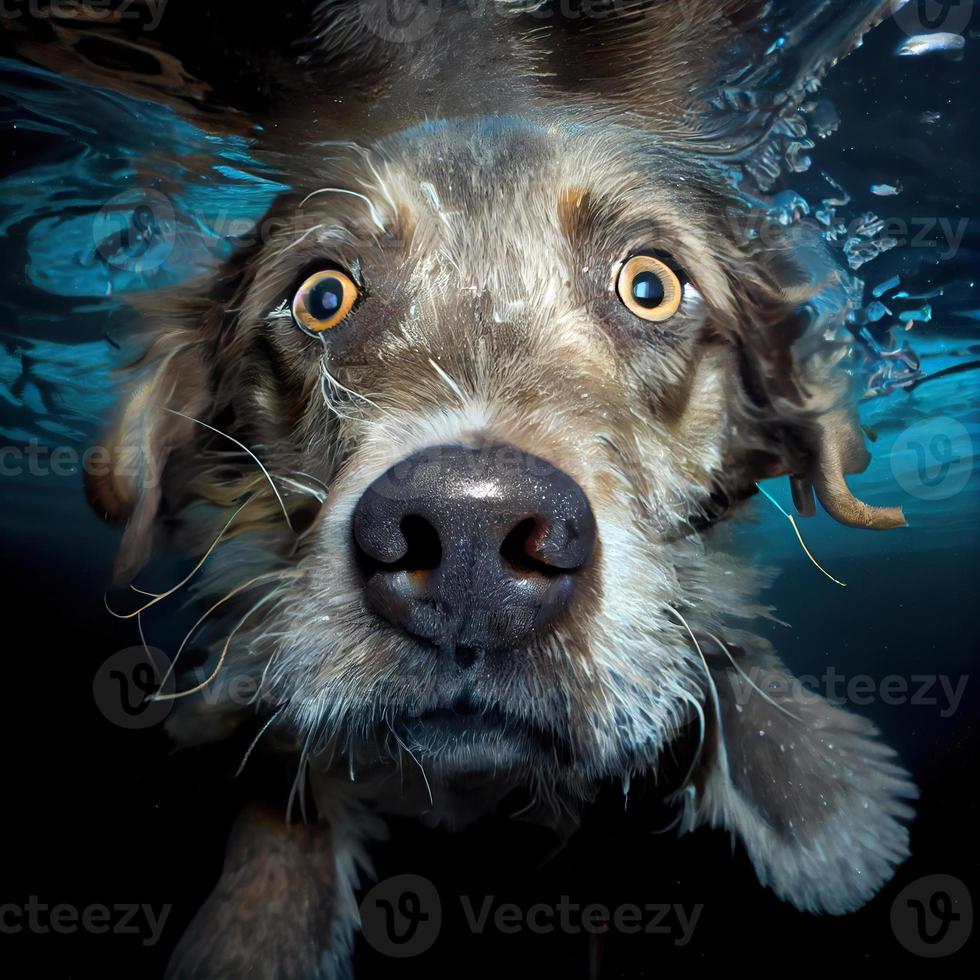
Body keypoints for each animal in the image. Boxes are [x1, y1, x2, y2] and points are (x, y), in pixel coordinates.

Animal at [26, 0, 916, 976]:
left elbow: (725, 644)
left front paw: (814, 798)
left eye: (649, 286)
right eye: (323, 297)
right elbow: (282, 786)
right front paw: (256, 933)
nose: (469, 541)